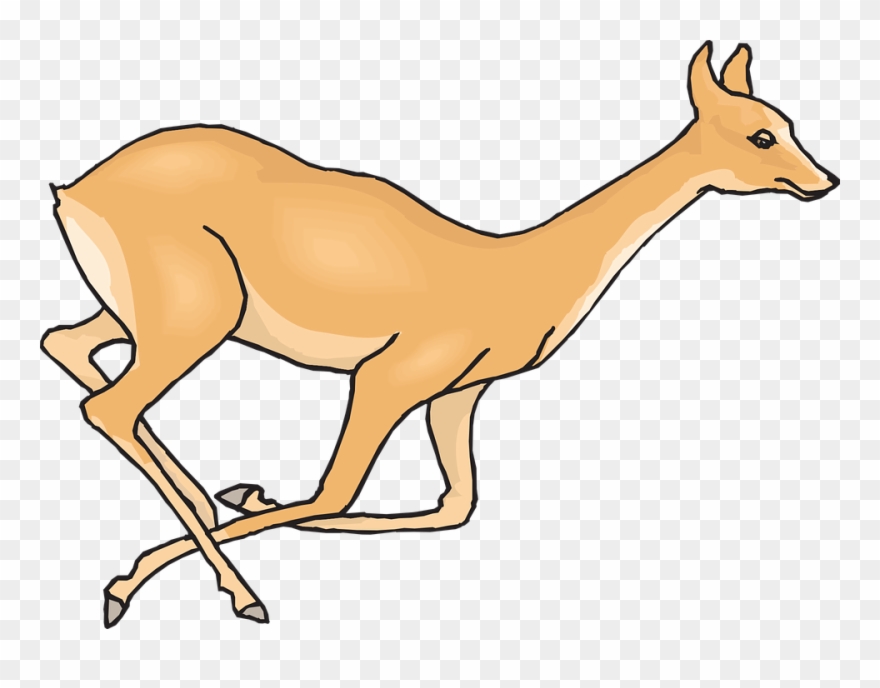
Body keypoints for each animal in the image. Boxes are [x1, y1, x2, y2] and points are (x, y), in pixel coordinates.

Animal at [41, 42, 838, 628]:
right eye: (761, 133)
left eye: (789, 123)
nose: (825, 181)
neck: (513, 271)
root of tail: (74, 191)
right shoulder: (390, 377)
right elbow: (338, 492)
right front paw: (153, 576)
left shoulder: (458, 394)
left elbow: (455, 505)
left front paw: (248, 495)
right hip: (196, 318)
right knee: (110, 405)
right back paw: (219, 591)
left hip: (156, 316)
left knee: (66, 346)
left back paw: (208, 499)